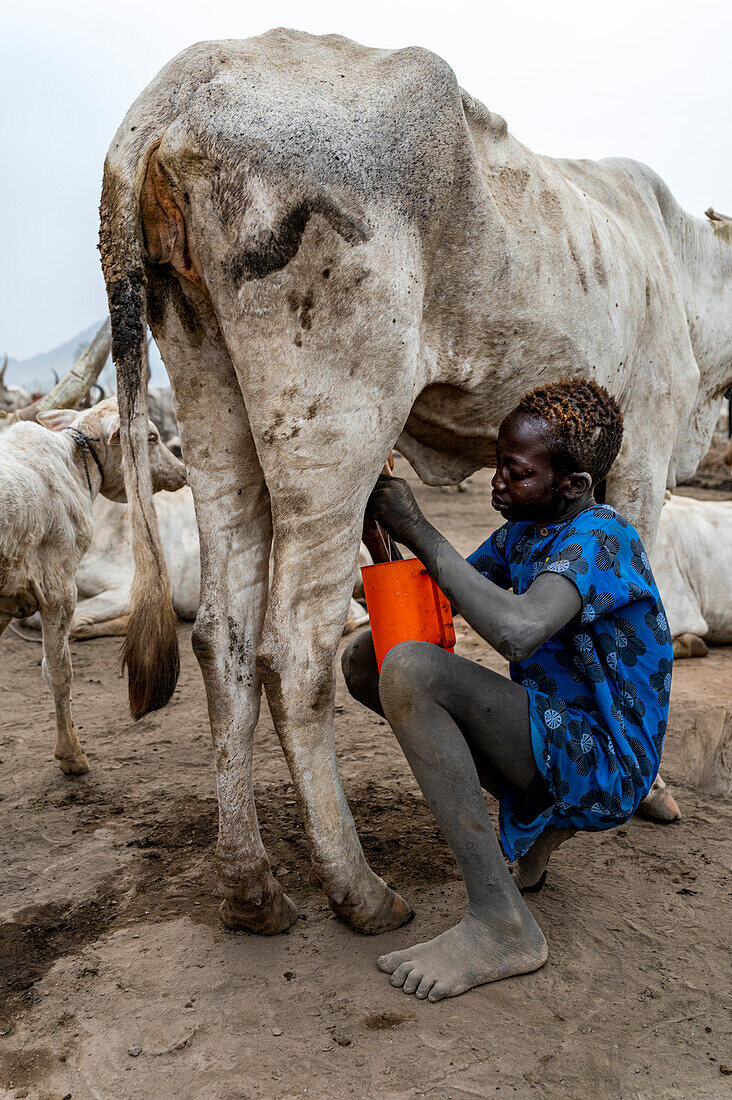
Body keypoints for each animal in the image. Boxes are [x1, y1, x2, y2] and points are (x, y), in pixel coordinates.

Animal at [0, 398, 182, 774]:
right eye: (152, 436)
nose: (182, 471)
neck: (72, 465)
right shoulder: (58, 589)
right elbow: (58, 672)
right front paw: (71, 754)